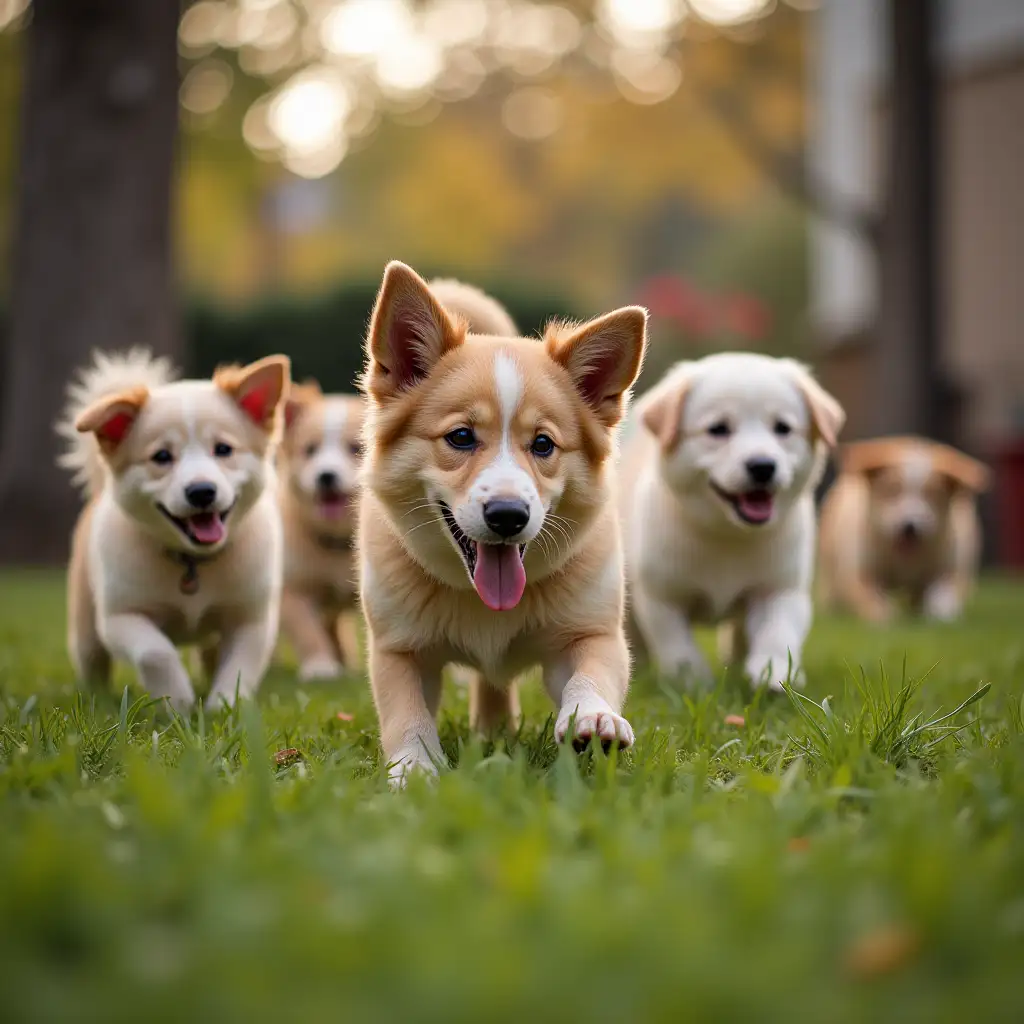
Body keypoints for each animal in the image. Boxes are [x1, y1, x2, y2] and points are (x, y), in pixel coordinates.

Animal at [58, 348, 290, 708]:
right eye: (162, 456)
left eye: (223, 449)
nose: (202, 491)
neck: (192, 561)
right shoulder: (120, 618)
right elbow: (156, 653)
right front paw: (177, 701)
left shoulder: (252, 620)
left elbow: (239, 667)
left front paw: (224, 705)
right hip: (86, 629)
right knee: (93, 663)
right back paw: (98, 698)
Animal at [278, 380, 366, 684]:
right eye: (310, 450)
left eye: (355, 448)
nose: (325, 476)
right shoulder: (294, 589)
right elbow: (308, 631)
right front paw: (320, 666)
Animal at [356, 260, 647, 778]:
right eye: (461, 437)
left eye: (544, 444)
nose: (509, 516)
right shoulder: (398, 650)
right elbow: (407, 714)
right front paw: (415, 769)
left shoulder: (592, 632)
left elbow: (591, 676)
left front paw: (594, 719)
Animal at [618, 350, 843, 688]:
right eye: (718, 429)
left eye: (782, 428)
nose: (762, 466)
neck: (728, 533)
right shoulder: (662, 596)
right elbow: (677, 645)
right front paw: (692, 682)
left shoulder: (781, 588)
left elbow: (778, 633)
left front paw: (774, 673)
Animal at [811, 434, 987, 618]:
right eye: (892, 491)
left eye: (932, 495)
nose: (909, 527)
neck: (904, 559)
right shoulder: (858, 570)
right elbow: (870, 598)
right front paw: (886, 614)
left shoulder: (952, 568)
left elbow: (944, 594)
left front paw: (939, 612)